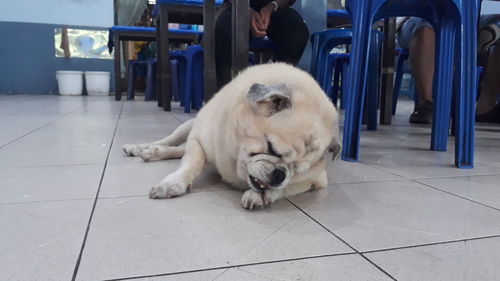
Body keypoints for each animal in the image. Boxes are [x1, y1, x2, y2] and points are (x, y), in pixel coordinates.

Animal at [122, 63, 340, 208]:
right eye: (271, 148)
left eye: (296, 170)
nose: (280, 174)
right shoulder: (197, 140)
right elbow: (192, 163)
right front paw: (173, 183)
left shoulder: (316, 181)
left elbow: (284, 189)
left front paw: (260, 195)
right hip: (187, 126)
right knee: (172, 142)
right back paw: (145, 149)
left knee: (178, 150)